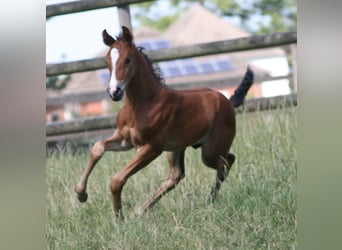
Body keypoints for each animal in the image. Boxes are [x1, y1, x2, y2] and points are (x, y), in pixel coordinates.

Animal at [76, 25, 255, 219]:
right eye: (107, 60)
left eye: (127, 60)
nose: (114, 92)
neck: (143, 104)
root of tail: (228, 102)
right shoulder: (125, 139)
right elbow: (98, 148)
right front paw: (81, 194)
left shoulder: (151, 148)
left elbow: (117, 179)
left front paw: (119, 217)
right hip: (176, 148)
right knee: (176, 175)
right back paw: (141, 210)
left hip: (210, 151)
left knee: (227, 161)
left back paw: (209, 200)